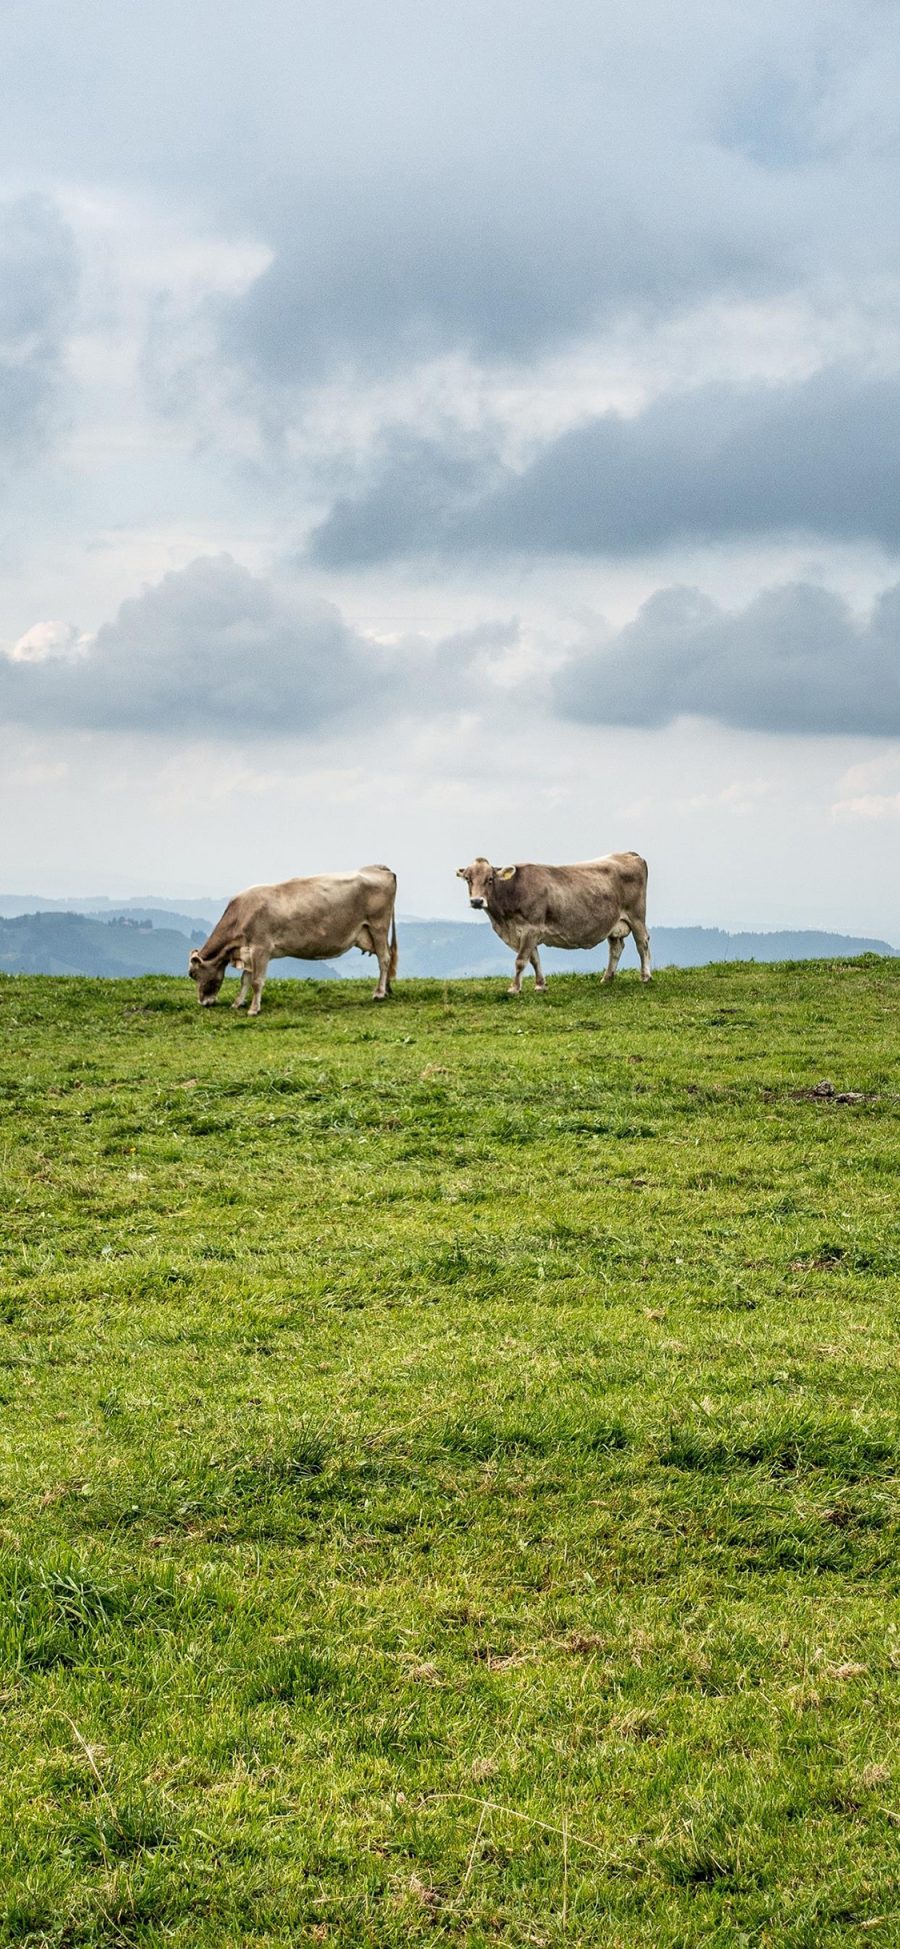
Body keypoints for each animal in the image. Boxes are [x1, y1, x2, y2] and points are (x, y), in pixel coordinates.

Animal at [186, 869, 397, 1021]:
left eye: (193, 974)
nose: (202, 1002)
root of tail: (379, 868)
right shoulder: (248, 951)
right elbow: (245, 979)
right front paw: (238, 1003)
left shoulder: (261, 948)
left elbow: (256, 981)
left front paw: (254, 1009)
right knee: (386, 956)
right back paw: (387, 990)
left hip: (378, 926)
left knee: (384, 958)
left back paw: (379, 993)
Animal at [459, 853, 650, 997]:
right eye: (468, 879)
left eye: (490, 879)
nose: (476, 901)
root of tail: (629, 854)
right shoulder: (527, 933)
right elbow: (534, 959)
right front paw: (540, 985)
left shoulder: (531, 928)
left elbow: (521, 960)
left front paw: (514, 988)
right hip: (613, 923)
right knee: (616, 948)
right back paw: (607, 978)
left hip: (636, 916)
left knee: (642, 943)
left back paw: (645, 976)